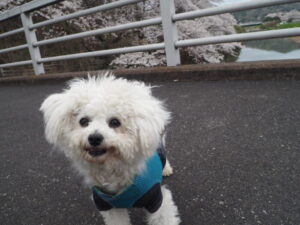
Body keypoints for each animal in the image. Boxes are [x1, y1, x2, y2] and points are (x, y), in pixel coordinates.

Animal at [39, 73, 180, 225]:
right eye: (83, 121)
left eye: (115, 122)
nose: (94, 138)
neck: (113, 167)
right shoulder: (107, 205)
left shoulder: (157, 200)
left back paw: (166, 169)